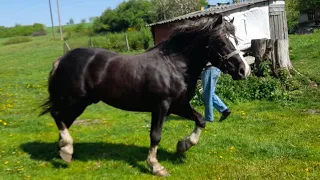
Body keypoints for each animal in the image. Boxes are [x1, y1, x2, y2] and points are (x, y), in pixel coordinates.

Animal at [40, 13, 250, 176]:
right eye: (221, 41)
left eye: (235, 40)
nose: (244, 70)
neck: (174, 65)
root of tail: (62, 59)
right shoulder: (161, 106)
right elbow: (155, 135)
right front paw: (156, 166)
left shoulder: (179, 105)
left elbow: (200, 120)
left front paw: (182, 146)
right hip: (74, 99)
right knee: (57, 115)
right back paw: (66, 148)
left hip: (82, 103)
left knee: (64, 120)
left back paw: (63, 149)